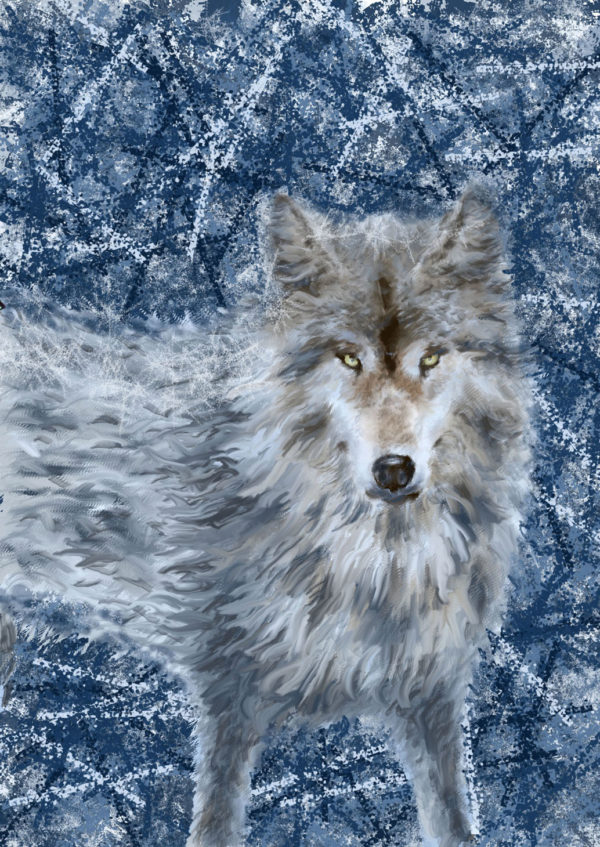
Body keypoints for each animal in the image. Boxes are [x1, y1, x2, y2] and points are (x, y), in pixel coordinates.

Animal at [0, 186, 532, 847]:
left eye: (431, 358)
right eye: (348, 359)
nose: (394, 470)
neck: (377, 563)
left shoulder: (430, 699)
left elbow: (452, 823)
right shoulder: (228, 701)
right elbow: (215, 824)